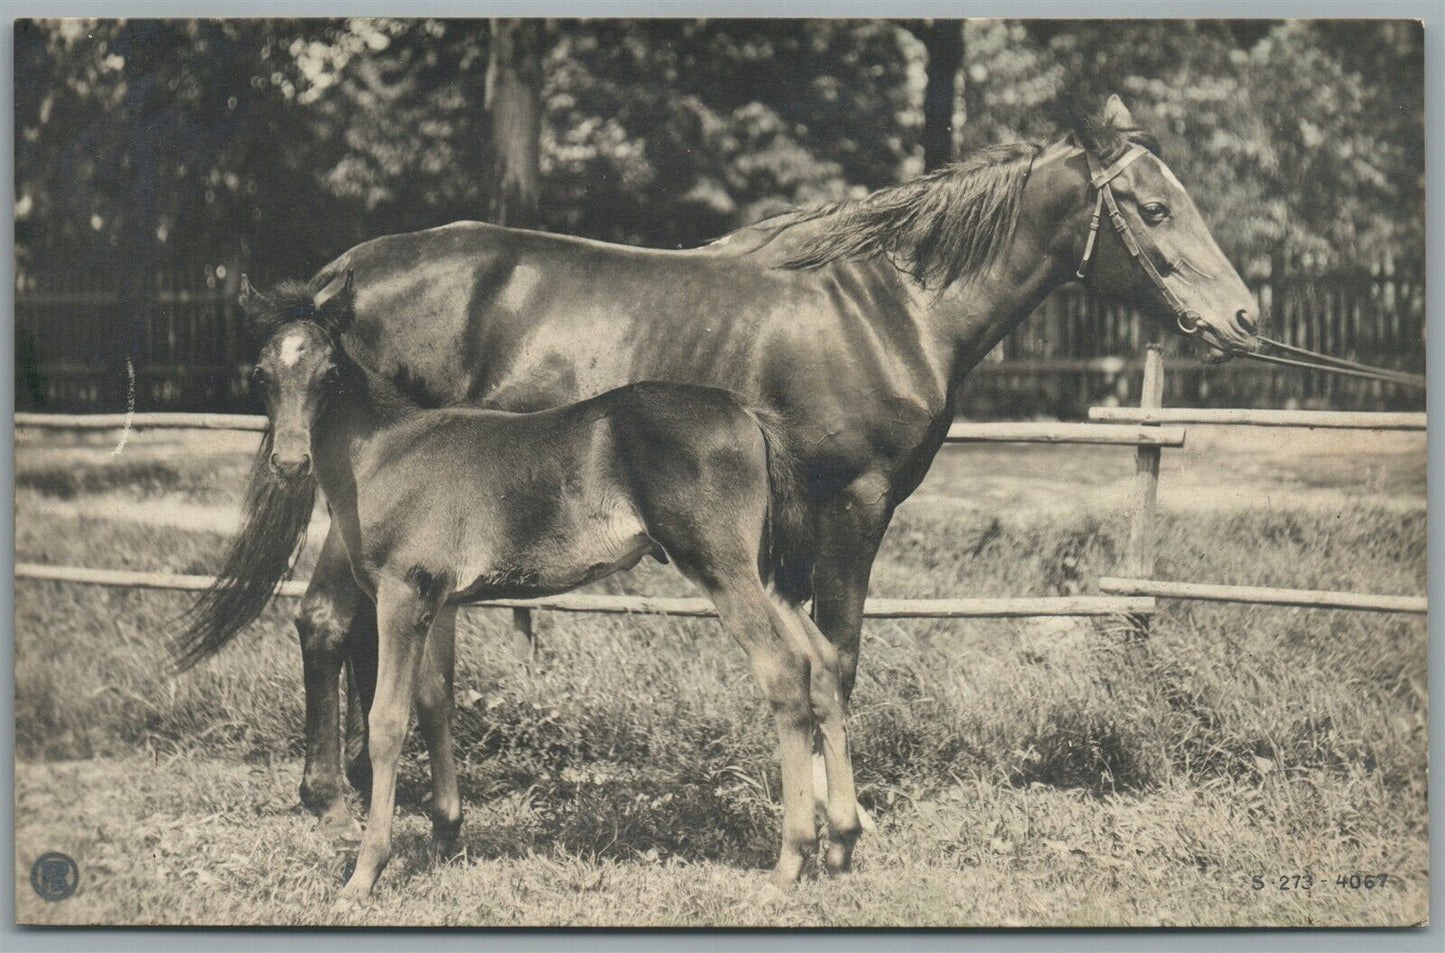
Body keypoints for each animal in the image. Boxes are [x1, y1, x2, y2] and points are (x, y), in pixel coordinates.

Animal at [231, 276, 863, 897]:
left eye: (330, 373)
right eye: (260, 375)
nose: (290, 462)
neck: (386, 451)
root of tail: (747, 412)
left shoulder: (402, 594)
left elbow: (389, 720)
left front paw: (365, 873)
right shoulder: (439, 602)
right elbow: (436, 701)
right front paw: (444, 834)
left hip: (723, 569)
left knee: (785, 671)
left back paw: (791, 859)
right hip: (768, 576)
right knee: (825, 664)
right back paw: (841, 842)